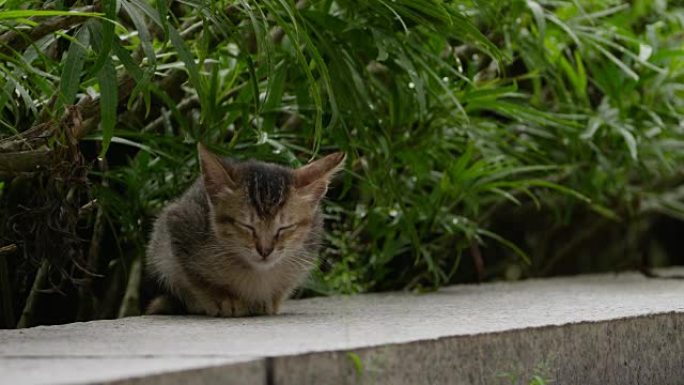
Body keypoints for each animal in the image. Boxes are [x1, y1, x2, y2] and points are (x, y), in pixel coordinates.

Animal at [146, 142, 344, 316]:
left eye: (284, 228)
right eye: (246, 225)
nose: (265, 250)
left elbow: (284, 287)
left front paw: (269, 302)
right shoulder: (178, 225)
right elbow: (197, 279)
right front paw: (225, 300)